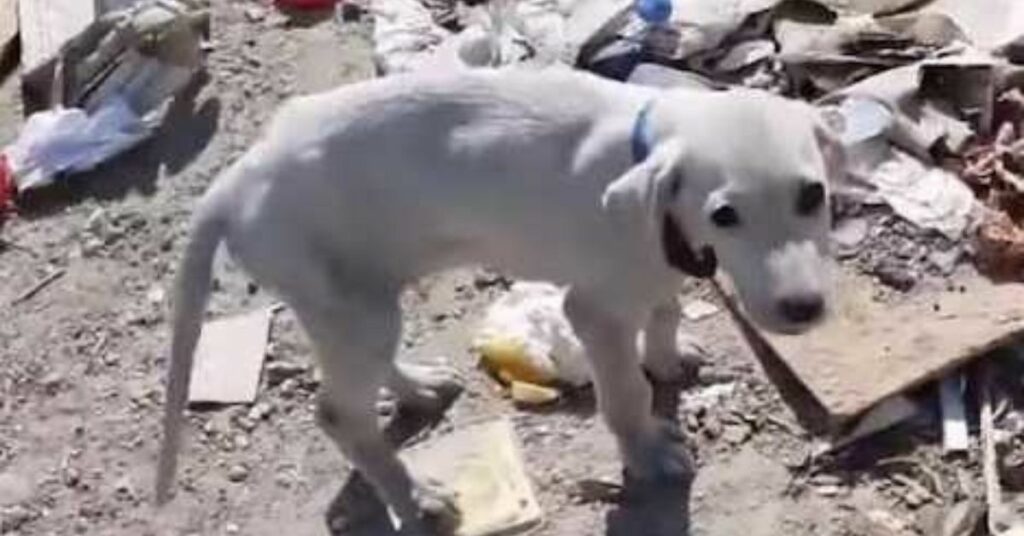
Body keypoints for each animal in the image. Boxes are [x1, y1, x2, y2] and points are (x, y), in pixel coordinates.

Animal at [153, 68, 839, 536]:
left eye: (813, 195)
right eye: (725, 215)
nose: (803, 309)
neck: (644, 155)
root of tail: (236, 178)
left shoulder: (658, 266)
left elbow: (665, 310)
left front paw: (669, 358)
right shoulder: (595, 310)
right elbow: (624, 394)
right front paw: (646, 450)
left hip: (361, 298)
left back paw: (419, 389)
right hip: (348, 304)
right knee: (340, 414)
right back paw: (415, 496)